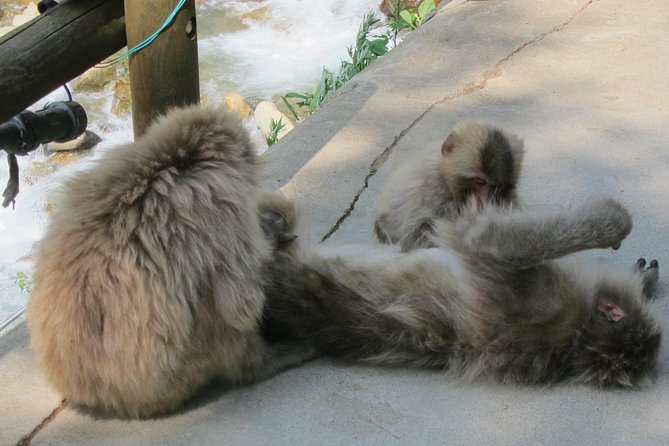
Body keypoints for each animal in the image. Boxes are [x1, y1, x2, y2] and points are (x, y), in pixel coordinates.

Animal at [26, 105, 311, 418]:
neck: (163, 164)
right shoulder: (220, 198)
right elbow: (241, 305)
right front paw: (272, 234)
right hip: (177, 376)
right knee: (212, 301)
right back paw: (257, 364)